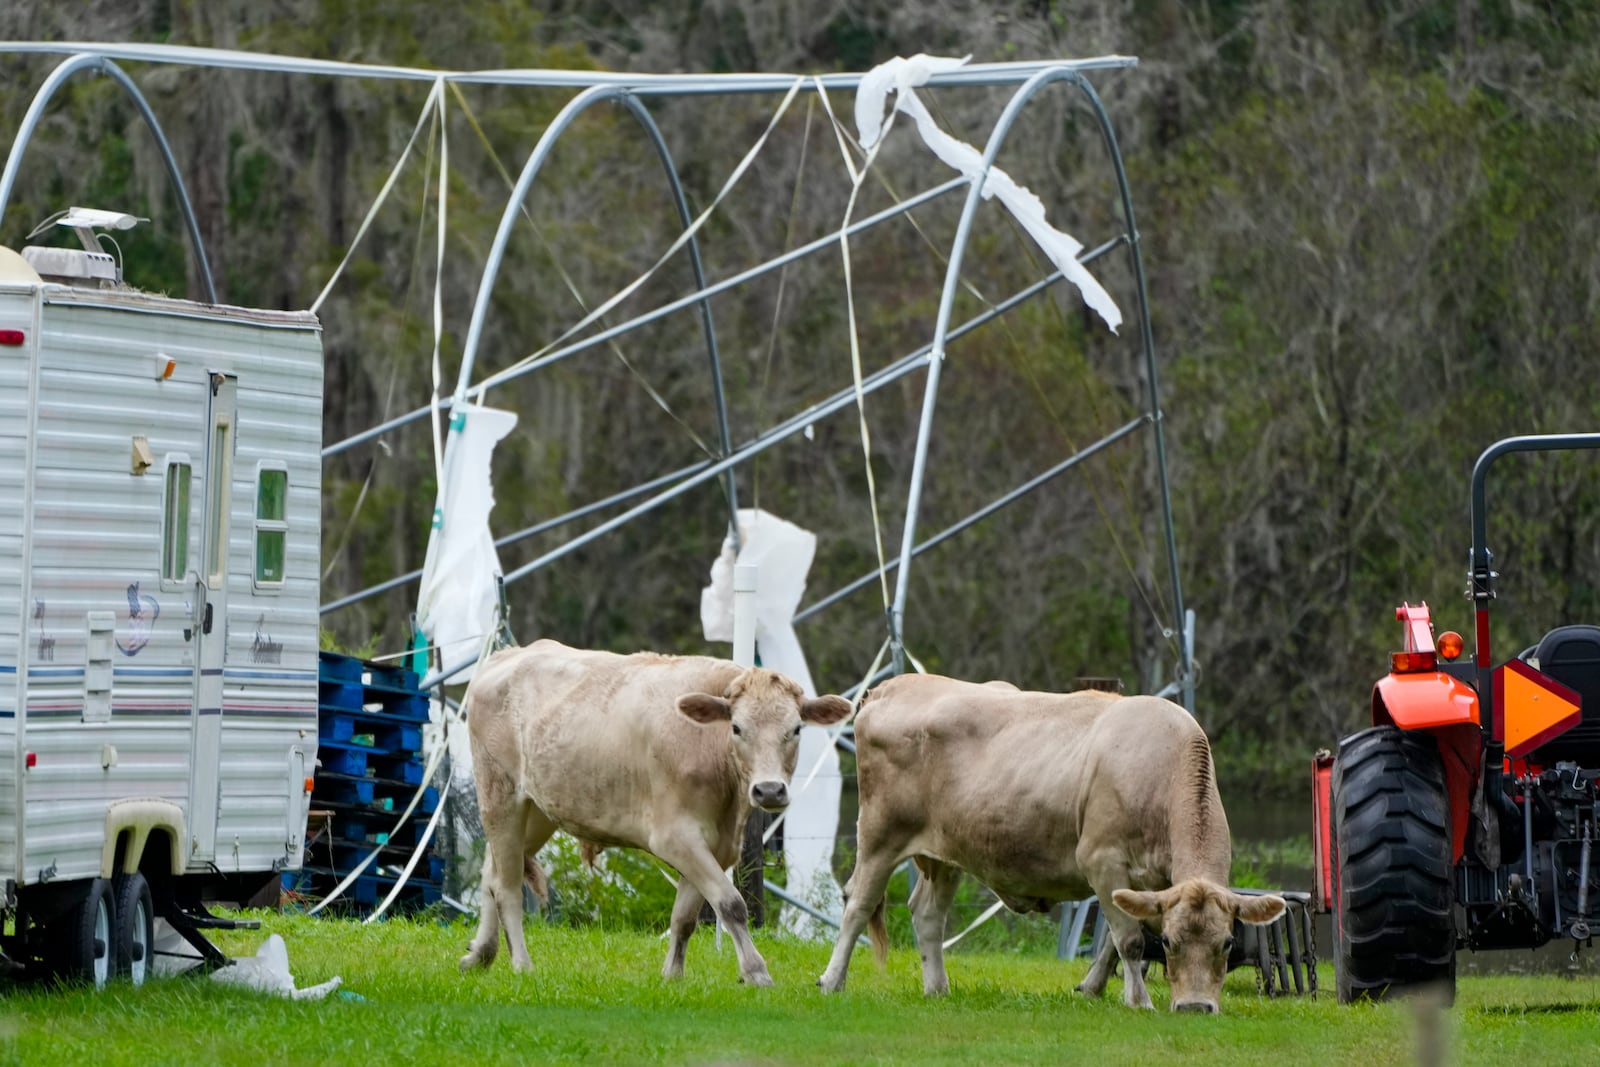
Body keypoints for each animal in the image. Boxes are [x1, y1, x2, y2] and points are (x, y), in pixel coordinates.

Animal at [457, 639, 857, 991]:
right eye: (737, 727)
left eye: (796, 729)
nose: (770, 790)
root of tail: (509, 655)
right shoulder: (675, 837)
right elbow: (730, 903)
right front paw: (756, 972)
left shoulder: (715, 845)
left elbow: (685, 918)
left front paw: (672, 976)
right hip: (500, 794)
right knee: (507, 886)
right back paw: (521, 964)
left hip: (539, 809)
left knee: (491, 872)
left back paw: (481, 954)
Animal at [825, 671, 1286, 1017]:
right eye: (1170, 942)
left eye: (1227, 943)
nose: (1195, 1007)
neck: (1162, 771)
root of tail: (892, 686)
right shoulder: (1101, 859)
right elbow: (1130, 940)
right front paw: (1139, 1001)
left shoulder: (1139, 884)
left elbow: (1113, 940)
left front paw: (1093, 987)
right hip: (880, 835)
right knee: (858, 903)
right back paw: (832, 980)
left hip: (944, 854)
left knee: (927, 915)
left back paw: (937, 987)